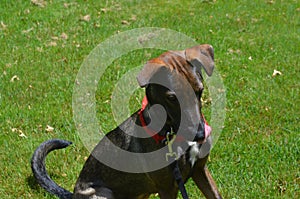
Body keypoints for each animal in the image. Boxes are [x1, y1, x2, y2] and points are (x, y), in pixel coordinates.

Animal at [31, 44, 221, 198]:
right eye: (172, 98)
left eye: (200, 90)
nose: (200, 135)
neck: (169, 132)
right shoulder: (167, 187)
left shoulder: (200, 170)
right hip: (103, 194)